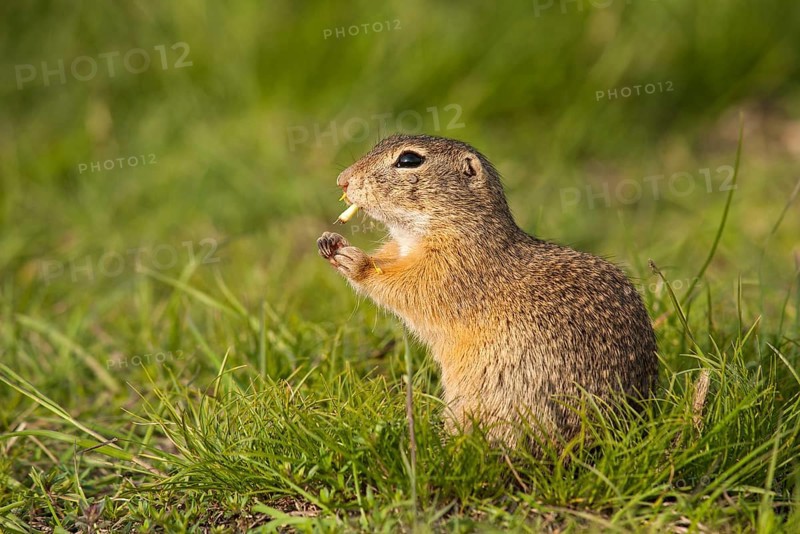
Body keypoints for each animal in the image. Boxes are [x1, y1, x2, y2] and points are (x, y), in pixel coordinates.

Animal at [317, 134, 658, 450]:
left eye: (409, 160)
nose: (342, 179)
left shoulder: (450, 269)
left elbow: (408, 287)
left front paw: (356, 262)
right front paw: (330, 241)